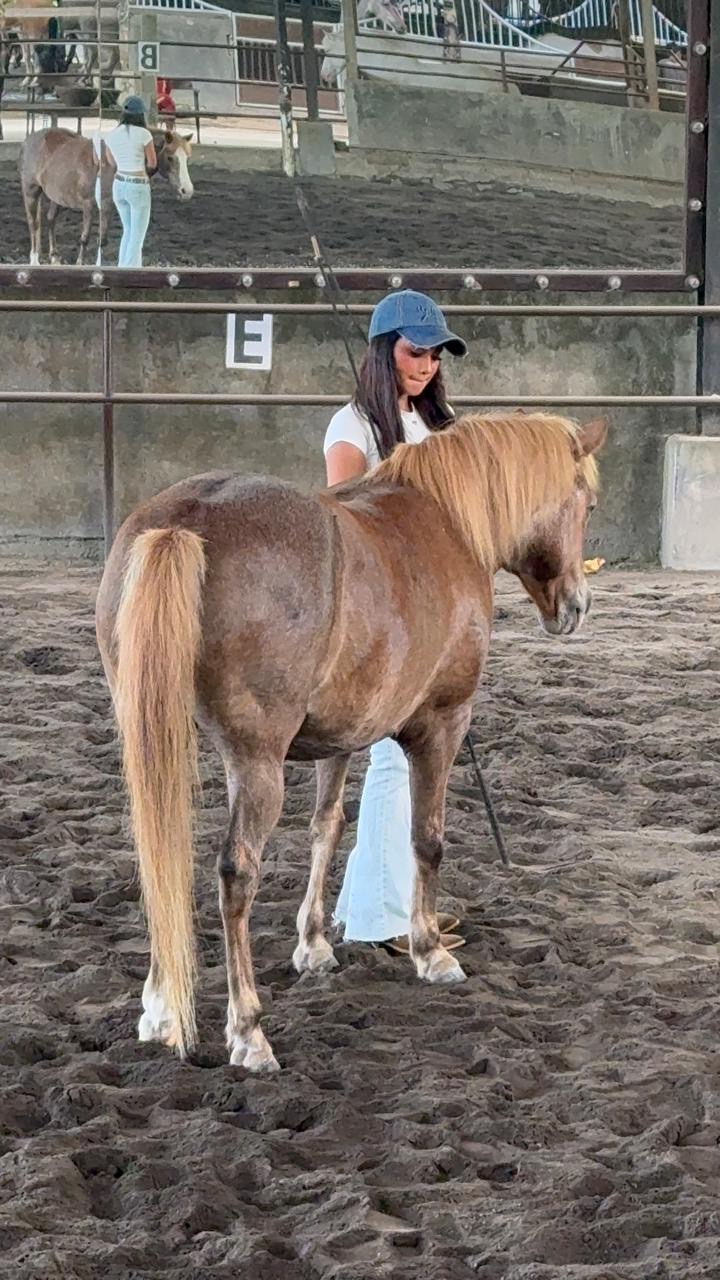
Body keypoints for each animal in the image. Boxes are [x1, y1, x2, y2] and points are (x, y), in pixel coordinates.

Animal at [19, 126, 194, 265]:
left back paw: (54, 257)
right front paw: (80, 263)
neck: (113, 163)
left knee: (51, 219)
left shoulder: (110, 205)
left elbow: (103, 239)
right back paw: (34, 259)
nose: (187, 190)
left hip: (57, 196)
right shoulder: (89, 204)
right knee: (34, 223)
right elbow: (85, 237)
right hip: (31, 191)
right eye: (170, 157)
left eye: (187, 157)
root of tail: (29, 140)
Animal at [95, 411, 607, 1073]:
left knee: (161, 852)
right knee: (237, 872)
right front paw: (430, 949)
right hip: (255, 761)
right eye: (587, 502)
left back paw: (160, 1009)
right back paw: (248, 1031)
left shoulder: (336, 738)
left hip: (156, 740)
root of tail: (183, 521)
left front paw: (313, 945)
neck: (446, 522)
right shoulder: (441, 723)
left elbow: (327, 828)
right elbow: (426, 838)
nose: (575, 606)